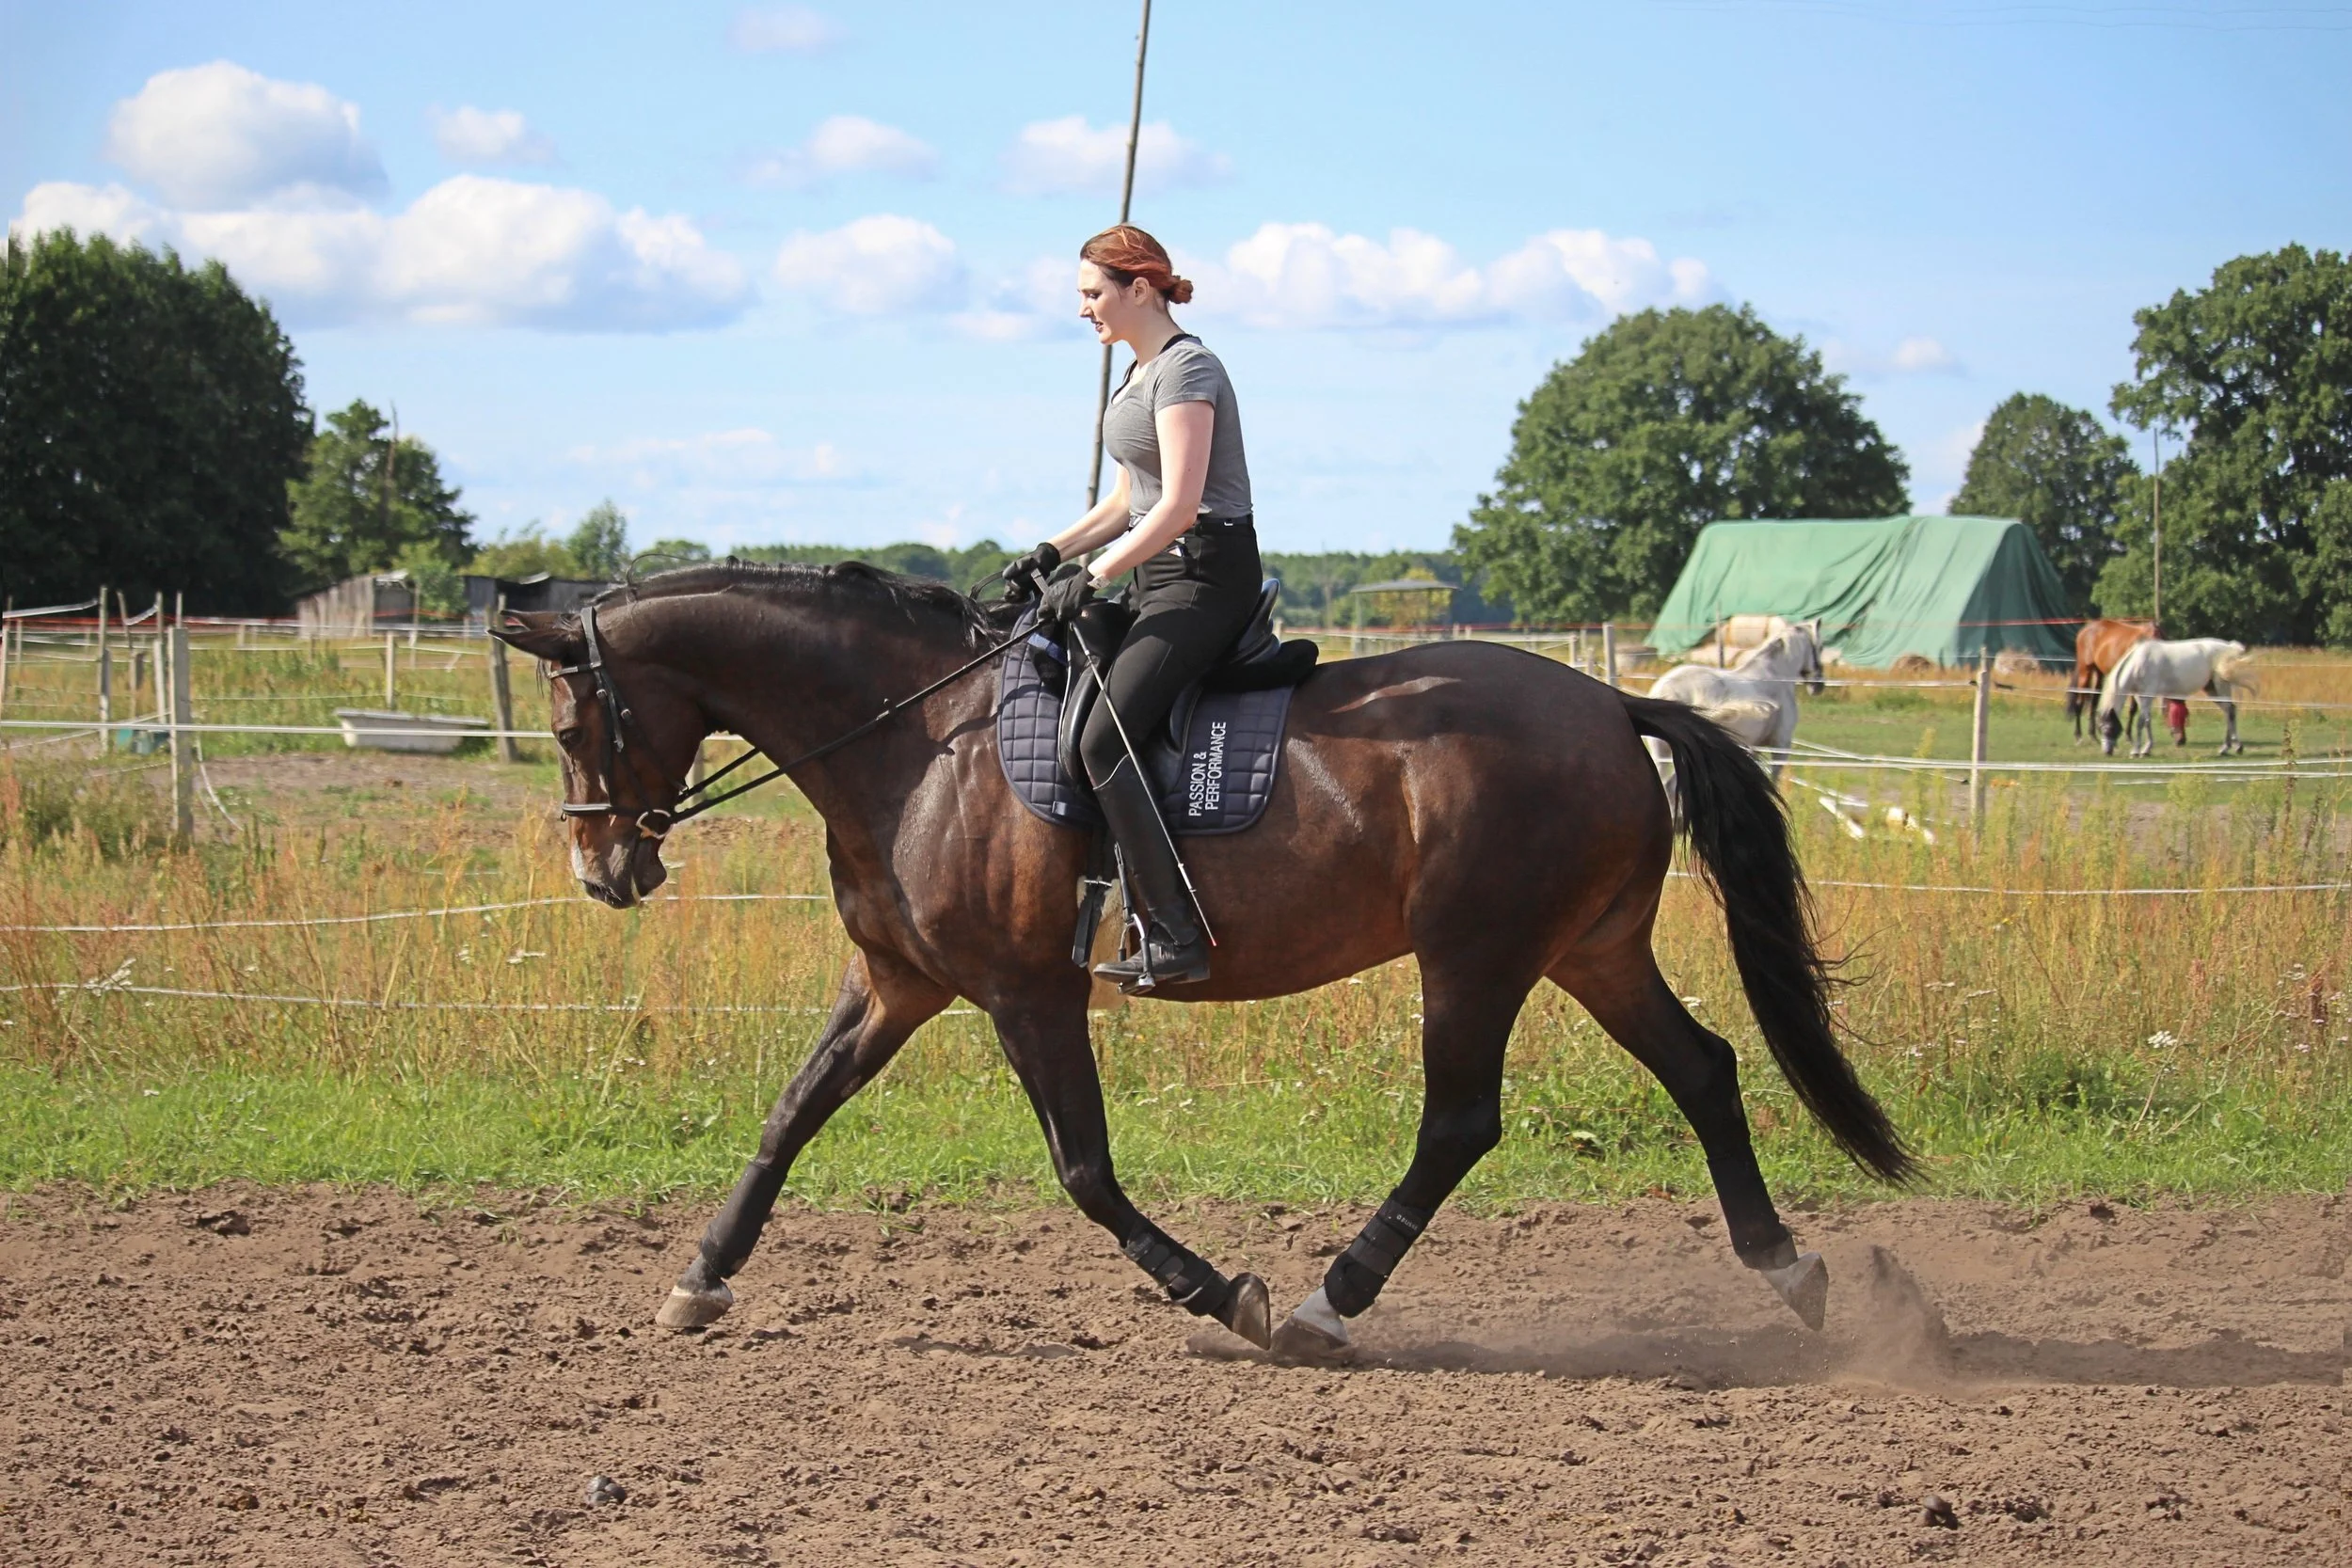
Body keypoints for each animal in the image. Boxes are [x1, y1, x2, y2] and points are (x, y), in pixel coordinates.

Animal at [491, 563, 1912, 1360]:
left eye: (569, 722)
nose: (603, 871)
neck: (918, 738)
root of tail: (1613, 701)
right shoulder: (898, 981)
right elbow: (790, 1114)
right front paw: (697, 1280)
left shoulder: (1025, 992)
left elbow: (1083, 1168)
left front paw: (1220, 1290)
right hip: (1587, 948)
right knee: (1706, 1068)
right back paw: (1790, 1272)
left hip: (1477, 956)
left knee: (1460, 1121)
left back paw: (1328, 1307)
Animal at [2068, 618, 2155, 741]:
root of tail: (2084, 630)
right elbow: (2133, 708)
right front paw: (2128, 736)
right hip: (2085, 671)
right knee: (2079, 702)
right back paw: (2078, 735)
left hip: (2099, 674)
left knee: (2094, 702)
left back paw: (2093, 734)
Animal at [2098, 637, 2255, 756]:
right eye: (2101, 729)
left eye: (2109, 729)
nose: (2107, 751)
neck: (2140, 662)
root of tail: (2228, 646)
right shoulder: (2139, 696)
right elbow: (2147, 720)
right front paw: (2147, 748)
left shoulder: (2148, 694)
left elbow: (2141, 721)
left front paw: (2136, 750)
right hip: (2211, 689)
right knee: (2229, 710)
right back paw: (2230, 747)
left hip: (2221, 686)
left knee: (2230, 711)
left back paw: (2231, 747)